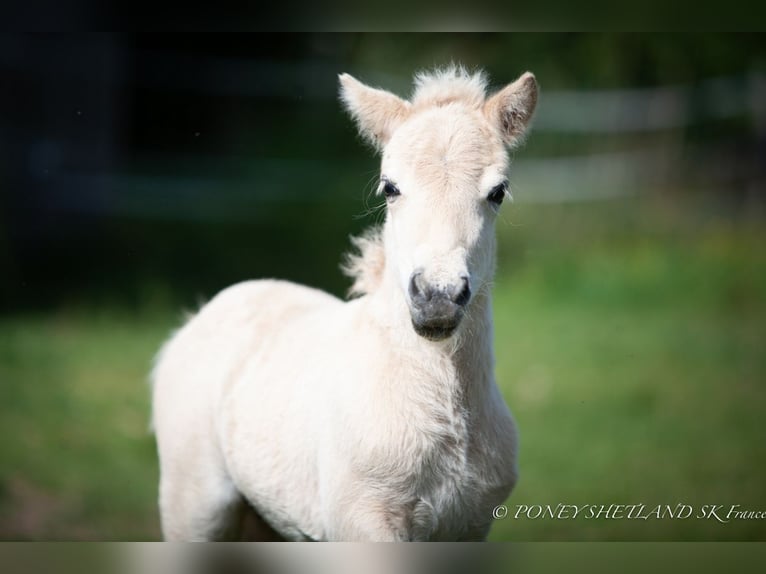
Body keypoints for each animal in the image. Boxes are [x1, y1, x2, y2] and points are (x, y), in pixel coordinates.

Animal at [152, 67, 540, 544]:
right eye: (390, 187)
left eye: (498, 192)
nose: (438, 297)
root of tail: (205, 313)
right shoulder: (364, 520)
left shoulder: (471, 526)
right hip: (194, 505)